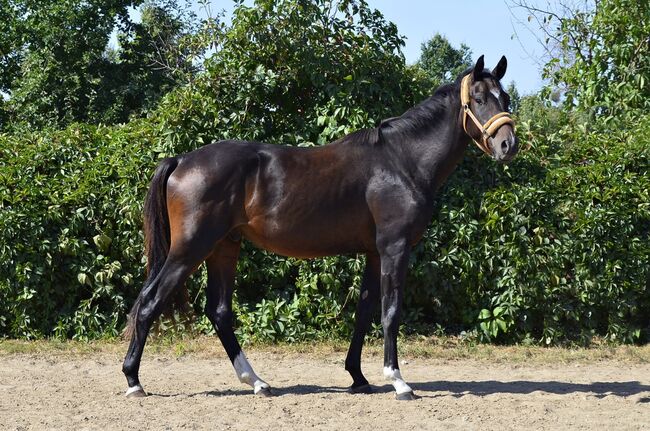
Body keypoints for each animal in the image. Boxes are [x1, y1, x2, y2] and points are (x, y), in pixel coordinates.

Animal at [121, 54, 516, 402]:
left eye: (506, 98)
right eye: (479, 97)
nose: (507, 144)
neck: (401, 161)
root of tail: (181, 160)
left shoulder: (374, 253)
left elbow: (364, 312)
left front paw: (358, 377)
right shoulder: (395, 248)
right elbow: (390, 311)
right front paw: (398, 381)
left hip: (224, 247)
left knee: (218, 312)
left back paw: (257, 382)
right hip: (190, 249)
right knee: (150, 302)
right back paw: (133, 380)